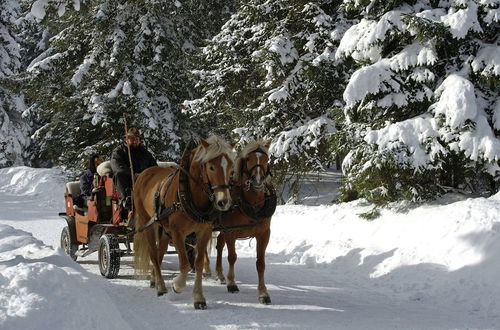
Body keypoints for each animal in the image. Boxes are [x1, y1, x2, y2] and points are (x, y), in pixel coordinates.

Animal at [133, 135, 234, 310]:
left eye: (230, 168)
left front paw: (199, 297)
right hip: (148, 223)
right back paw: (161, 287)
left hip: (164, 229)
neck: (190, 194)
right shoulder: (177, 232)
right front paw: (176, 285)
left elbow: (198, 263)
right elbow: (185, 264)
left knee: (159, 253)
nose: (224, 202)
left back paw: (154, 280)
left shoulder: (204, 232)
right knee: (153, 254)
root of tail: (144, 174)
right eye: (211, 167)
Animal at [212, 139, 276, 304]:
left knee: (219, 244)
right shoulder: (231, 232)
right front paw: (232, 283)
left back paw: (219, 274)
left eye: (267, 159)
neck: (251, 204)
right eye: (248, 159)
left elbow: (260, 263)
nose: (258, 181)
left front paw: (263, 293)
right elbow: (232, 257)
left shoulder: (264, 234)